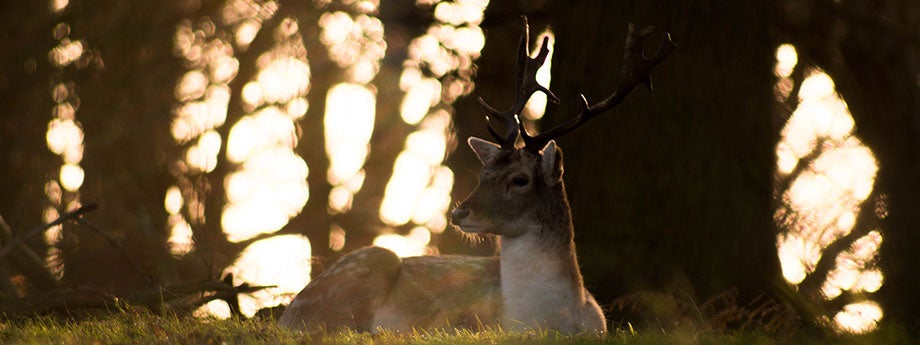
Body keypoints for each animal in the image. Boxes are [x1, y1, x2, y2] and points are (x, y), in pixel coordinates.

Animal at [276, 18, 672, 334]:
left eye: (519, 179)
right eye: (484, 172)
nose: (458, 212)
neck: (543, 321)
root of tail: (286, 314)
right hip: (367, 265)